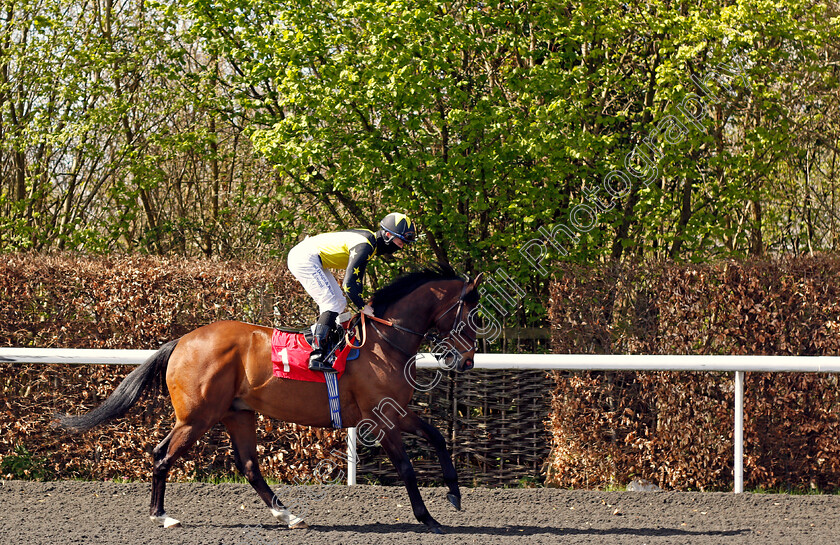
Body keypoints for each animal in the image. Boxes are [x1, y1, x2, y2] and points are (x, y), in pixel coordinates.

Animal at [55, 264, 482, 532]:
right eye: (472, 315)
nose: (466, 360)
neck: (384, 340)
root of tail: (182, 341)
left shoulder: (397, 411)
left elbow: (437, 437)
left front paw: (454, 494)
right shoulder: (380, 417)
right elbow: (407, 468)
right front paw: (428, 519)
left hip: (237, 414)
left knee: (249, 467)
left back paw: (288, 515)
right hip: (197, 418)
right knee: (162, 455)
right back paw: (162, 517)